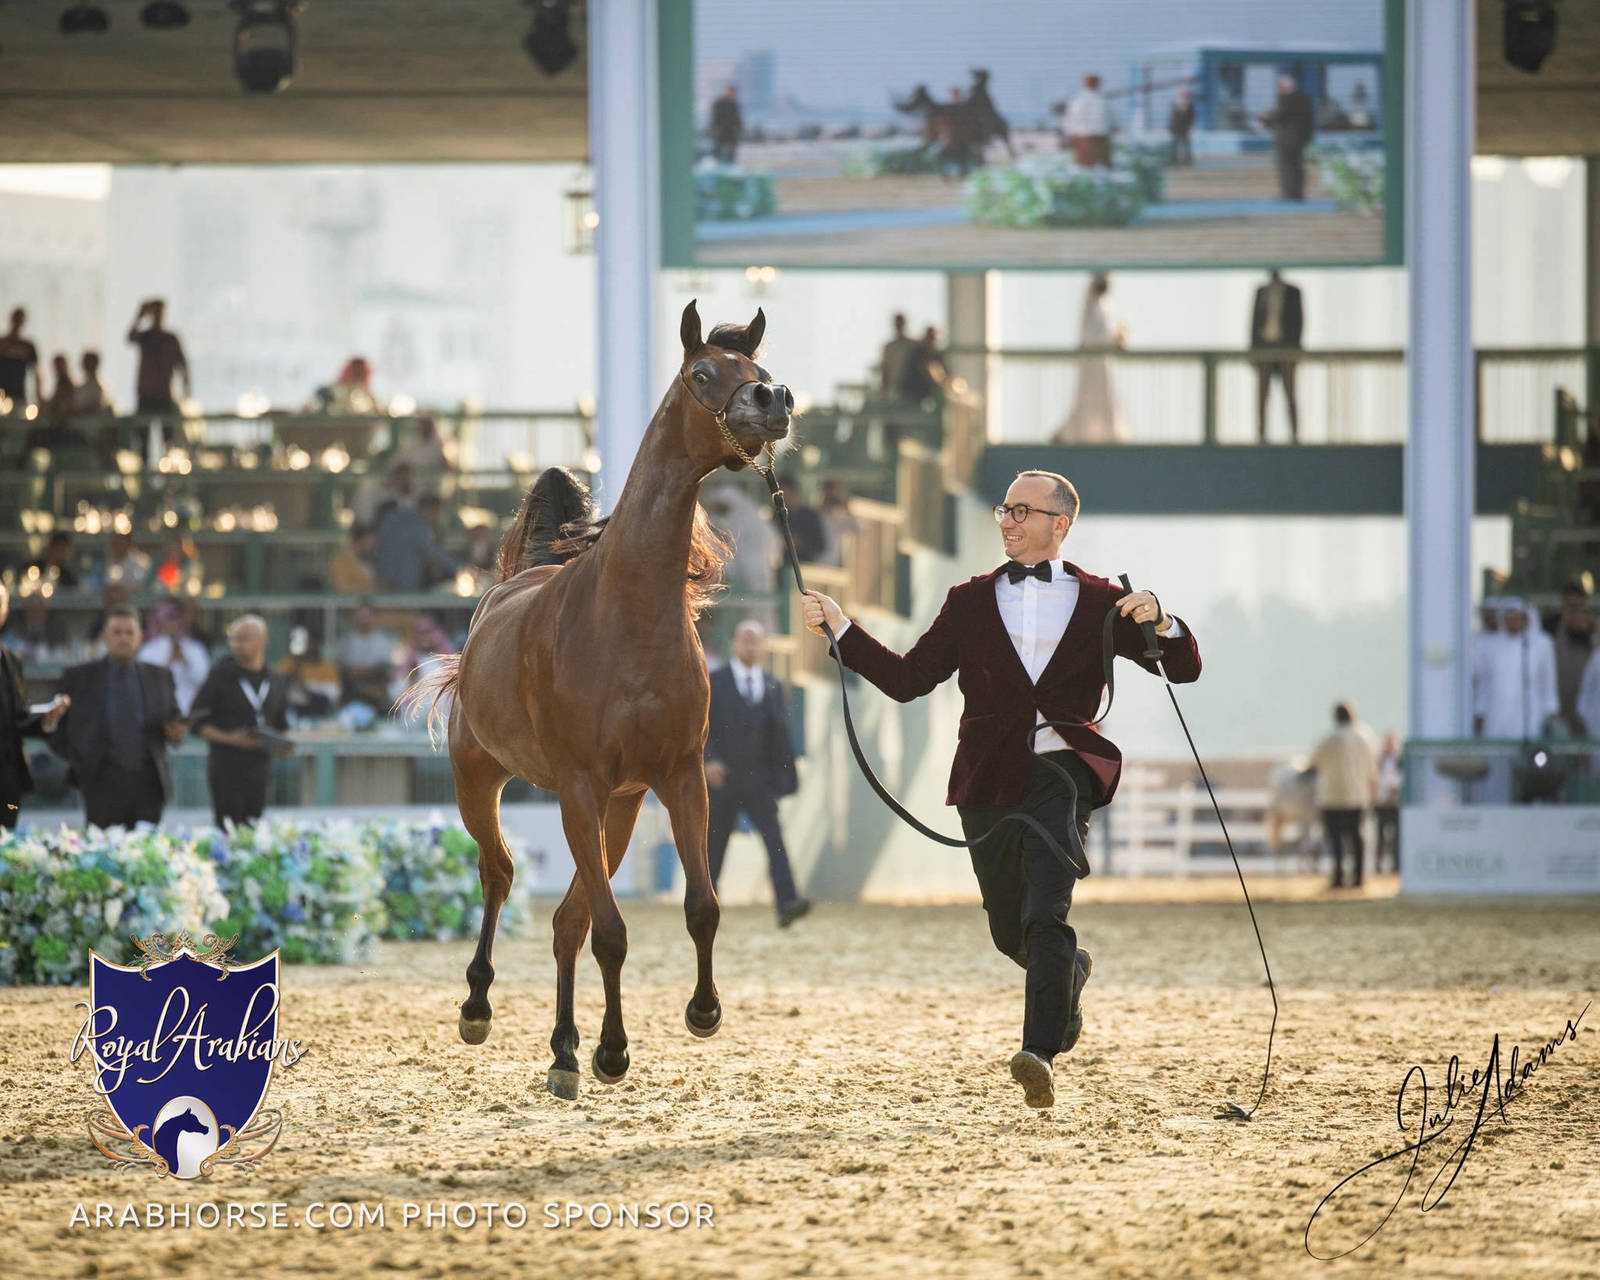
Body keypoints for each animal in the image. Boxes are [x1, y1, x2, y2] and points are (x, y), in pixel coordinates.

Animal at [406, 301, 793, 1101]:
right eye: (701, 374)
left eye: (760, 370)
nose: (773, 401)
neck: (627, 620)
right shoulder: (579, 787)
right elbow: (613, 933)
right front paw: (613, 1052)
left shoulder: (677, 779)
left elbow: (699, 907)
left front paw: (700, 1012)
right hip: (478, 781)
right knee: (501, 876)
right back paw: (479, 1006)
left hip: (621, 805)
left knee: (566, 921)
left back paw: (562, 1050)